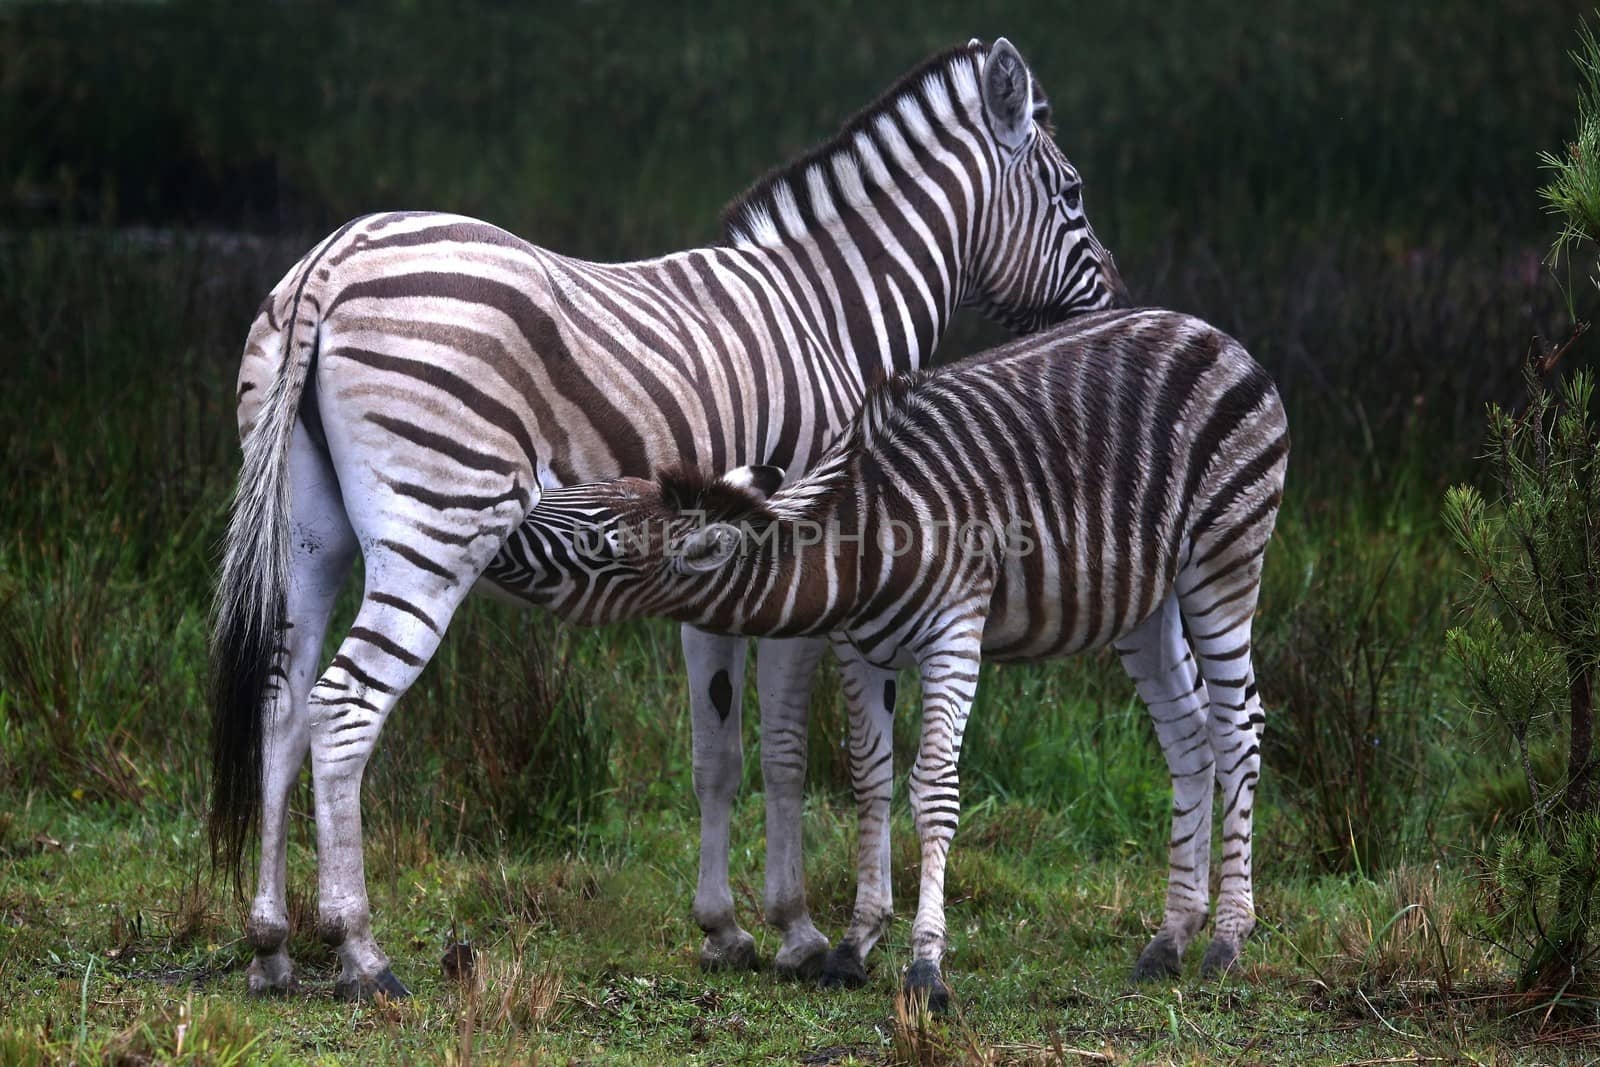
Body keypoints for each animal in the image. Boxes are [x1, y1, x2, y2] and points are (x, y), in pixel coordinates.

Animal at [216, 35, 1126, 1004]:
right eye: (1073, 192)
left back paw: (271, 944)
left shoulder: (720, 579)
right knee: (342, 709)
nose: (1113, 302)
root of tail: (330, 261)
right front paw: (804, 932)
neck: (834, 315)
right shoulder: (813, 561)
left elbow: (717, 754)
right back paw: (361, 949)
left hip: (307, 536)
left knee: (280, 704)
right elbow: (792, 754)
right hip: (438, 525)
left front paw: (724, 929)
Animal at [499, 308, 1286, 1011]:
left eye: (598, 543)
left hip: (1224, 558)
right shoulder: (860, 650)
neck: (863, 540)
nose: (502, 532)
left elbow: (932, 789)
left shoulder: (954, 634)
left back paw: (1227, 939)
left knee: (1237, 729)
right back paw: (1170, 938)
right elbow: (869, 779)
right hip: (1144, 603)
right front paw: (855, 944)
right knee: (1188, 738)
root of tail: (1205, 328)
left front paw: (926, 967)